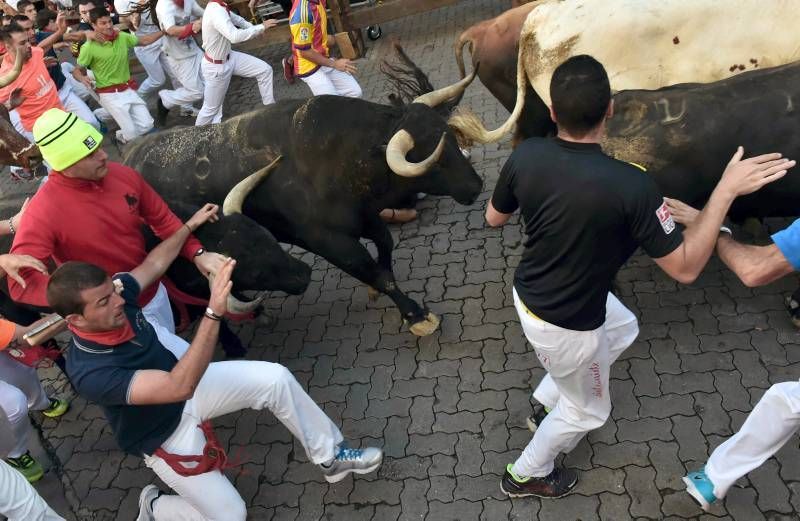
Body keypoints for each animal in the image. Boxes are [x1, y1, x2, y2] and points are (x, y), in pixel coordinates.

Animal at [125, 94, 482, 336]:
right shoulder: (328, 241)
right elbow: (376, 273)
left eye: (448, 134)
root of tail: (131, 156)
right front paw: (416, 316)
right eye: (430, 156)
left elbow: (386, 244)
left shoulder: (363, 216)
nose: (476, 186)